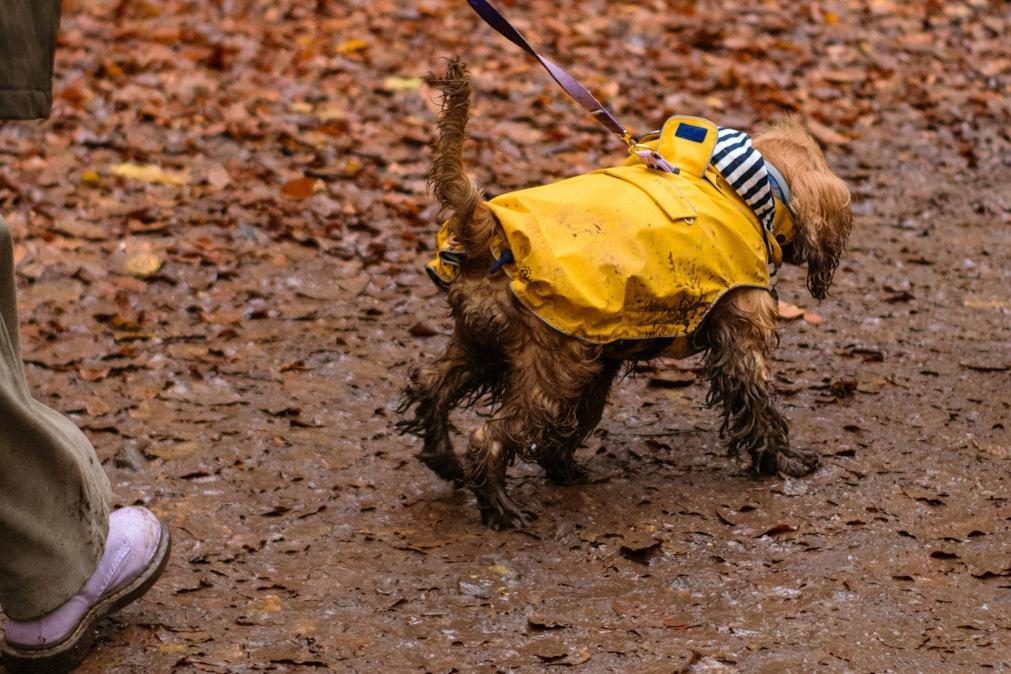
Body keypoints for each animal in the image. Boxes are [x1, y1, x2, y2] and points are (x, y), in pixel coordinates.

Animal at [396, 60, 853, 529]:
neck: (740, 192)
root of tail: (487, 224)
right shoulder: (742, 337)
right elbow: (760, 403)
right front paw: (784, 460)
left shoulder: (600, 354)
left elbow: (580, 420)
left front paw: (560, 465)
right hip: (548, 370)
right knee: (488, 435)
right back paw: (500, 507)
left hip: (482, 344)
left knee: (429, 387)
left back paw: (444, 458)